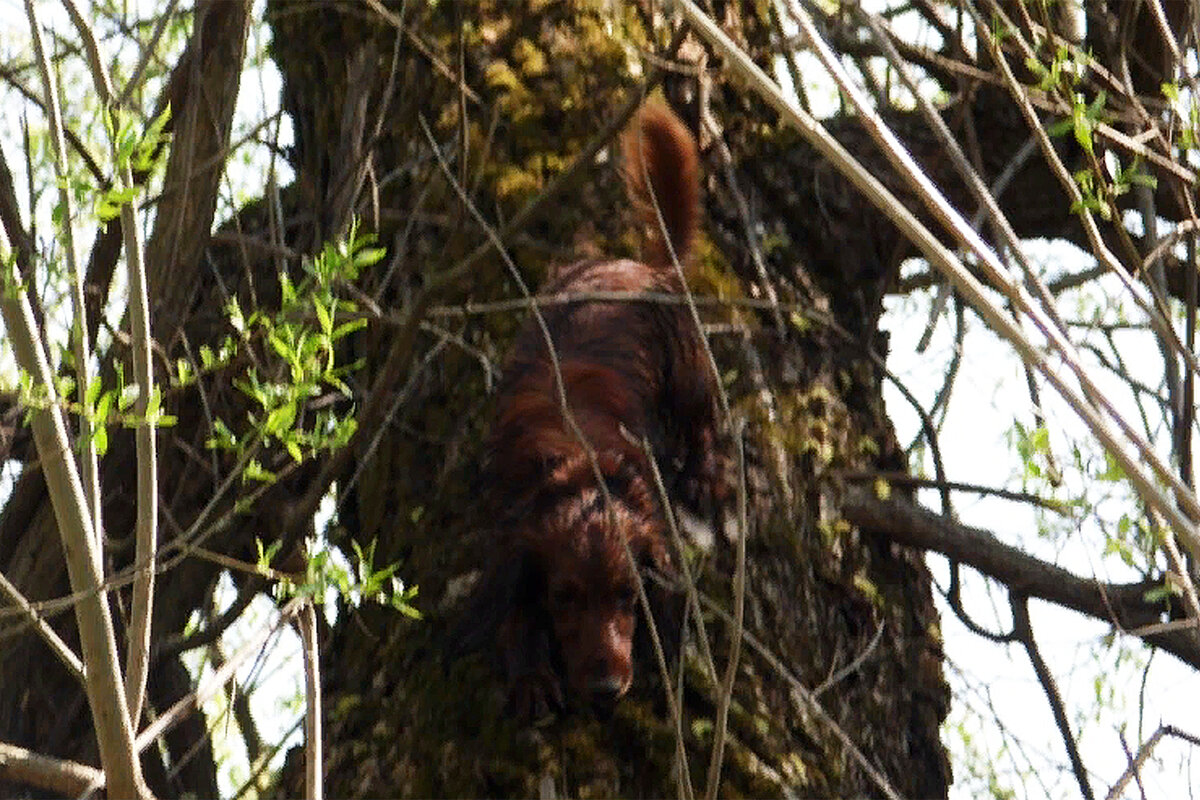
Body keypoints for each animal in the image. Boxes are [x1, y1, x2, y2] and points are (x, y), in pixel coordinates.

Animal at [465, 100, 720, 719]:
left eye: (630, 596)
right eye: (564, 596)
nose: (606, 690)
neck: (582, 471)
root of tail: (646, 267)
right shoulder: (510, 529)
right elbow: (515, 609)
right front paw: (531, 673)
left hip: (690, 376)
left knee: (703, 423)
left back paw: (702, 475)